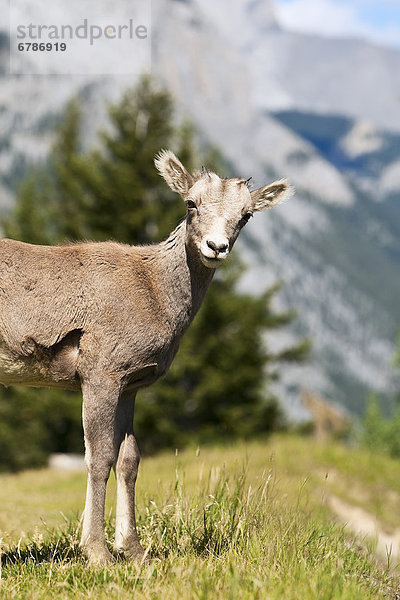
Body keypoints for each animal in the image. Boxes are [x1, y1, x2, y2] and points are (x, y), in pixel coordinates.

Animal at [0, 152, 292, 564]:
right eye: (191, 203)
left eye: (247, 214)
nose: (216, 246)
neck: (154, 291)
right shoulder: (101, 375)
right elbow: (100, 457)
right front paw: (97, 552)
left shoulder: (130, 386)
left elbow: (129, 459)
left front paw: (134, 550)